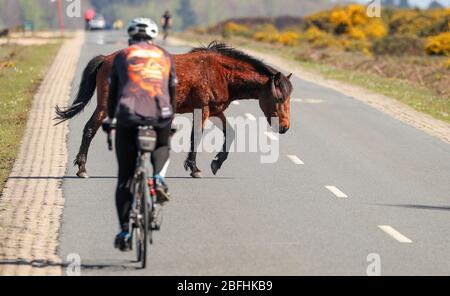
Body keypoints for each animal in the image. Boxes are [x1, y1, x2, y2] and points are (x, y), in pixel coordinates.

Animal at [54, 41, 294, 178]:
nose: (284, 127)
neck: (219, 72)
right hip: (106, 105)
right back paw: (82, 169)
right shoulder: (202, 109)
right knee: (90, 129)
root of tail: (106, 59)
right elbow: (196, 136)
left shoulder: (216, 111)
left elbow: (231, 133)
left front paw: (216, 162)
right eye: (279, 97)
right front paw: (194, 168)